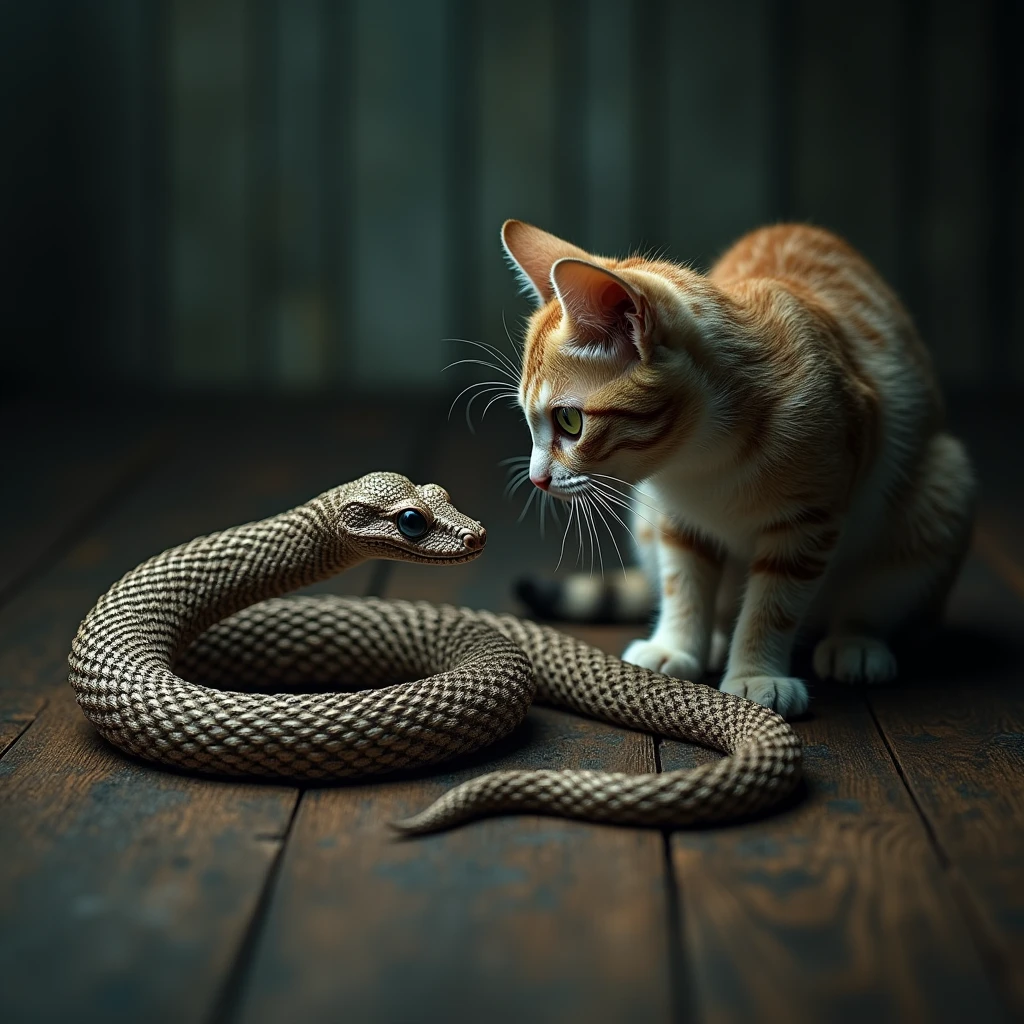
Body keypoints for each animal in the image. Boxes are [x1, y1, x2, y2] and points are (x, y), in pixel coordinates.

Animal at [503, 218, 974, 712]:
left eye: (569, 422)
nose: (536, 478)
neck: (702, 456)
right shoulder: (674, 516)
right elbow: (682, 584)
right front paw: (677, 645)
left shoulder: (811, 517)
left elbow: (773, 604)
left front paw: (755, 673)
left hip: (942, 491)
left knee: (877, 598)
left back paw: (857, 642)